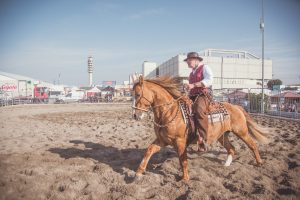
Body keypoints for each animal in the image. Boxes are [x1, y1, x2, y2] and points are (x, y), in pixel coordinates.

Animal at [131, 75, 268, 181]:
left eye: (138, 94)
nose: (135, 115)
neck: (169, 112)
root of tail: (236, 107)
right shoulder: (162, 140)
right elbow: (149, 150)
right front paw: (138, 173)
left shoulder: (180, 141)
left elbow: (183, 160)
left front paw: (185, 179)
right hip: (222, 136)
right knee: (232, 149)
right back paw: (226, 165)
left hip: (242, 132)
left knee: (252, 145)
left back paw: (259, 163)